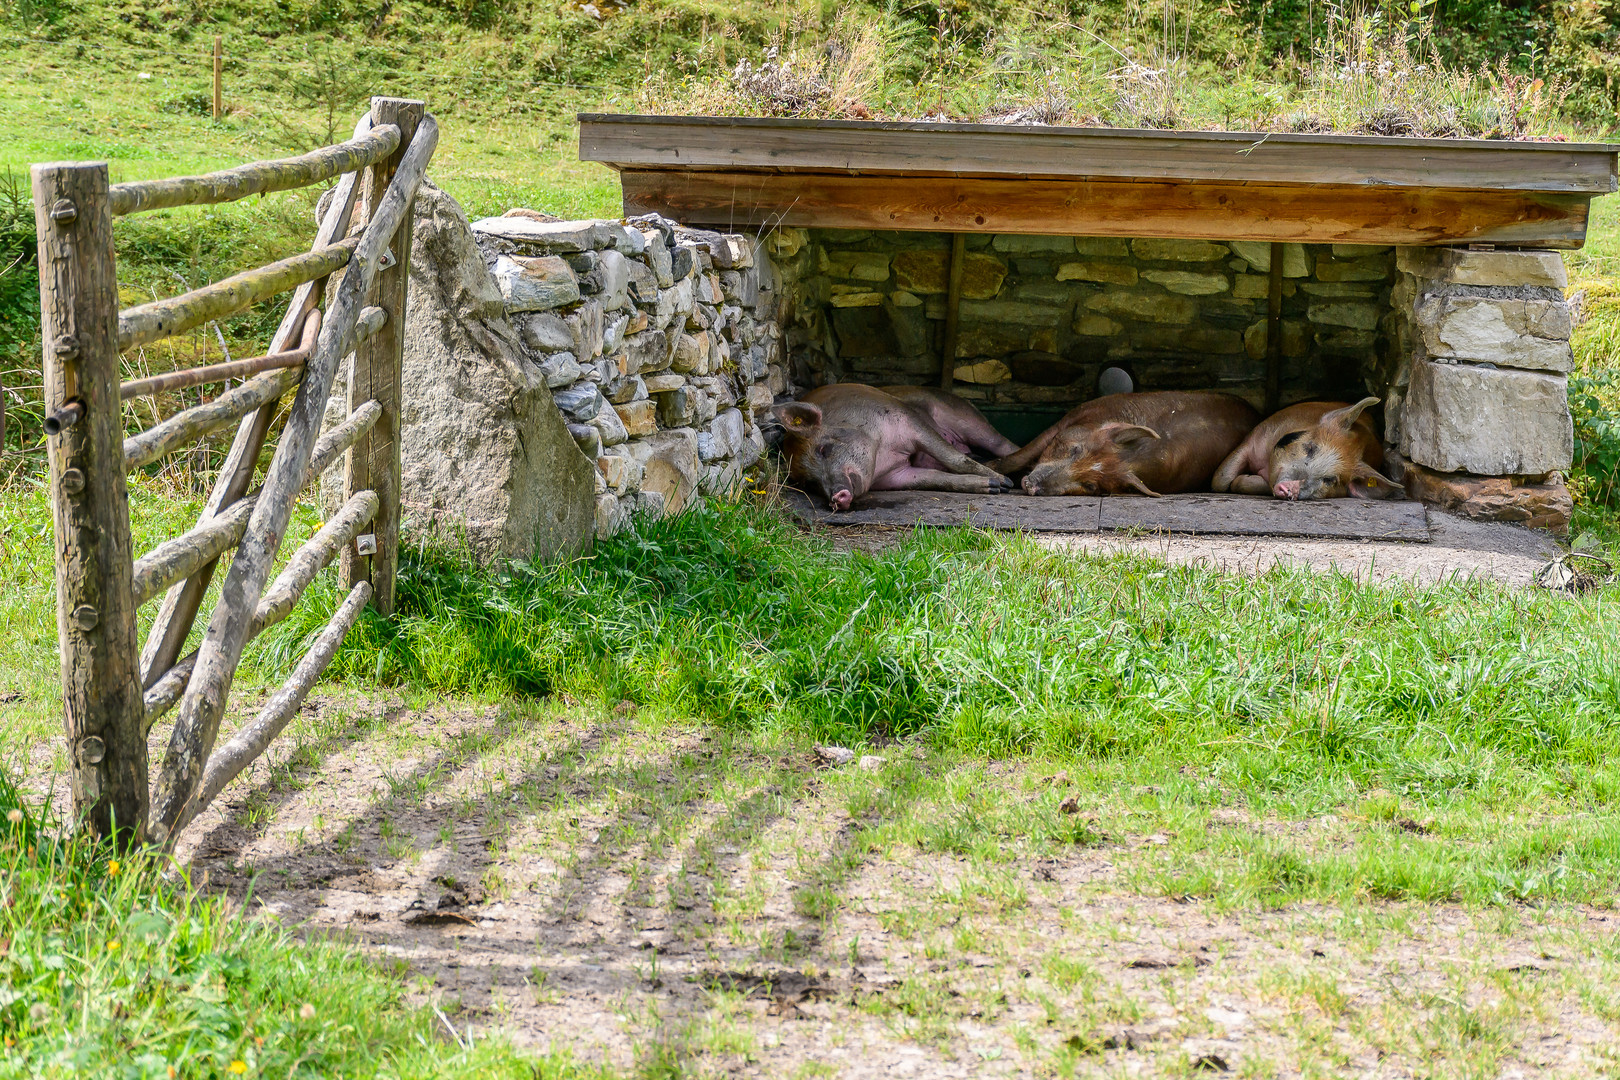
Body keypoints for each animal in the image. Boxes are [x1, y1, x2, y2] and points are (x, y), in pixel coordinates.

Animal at [767, 382, 1010, 514]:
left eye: (824, 449)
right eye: (810, 483)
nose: (836, 497)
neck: (882, 455)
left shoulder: (910, 423)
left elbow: (953, 458)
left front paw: (1004, 484)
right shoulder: (898, 476)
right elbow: (938, 478)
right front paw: (993, 487)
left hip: (965, 417)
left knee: (1000, 443)